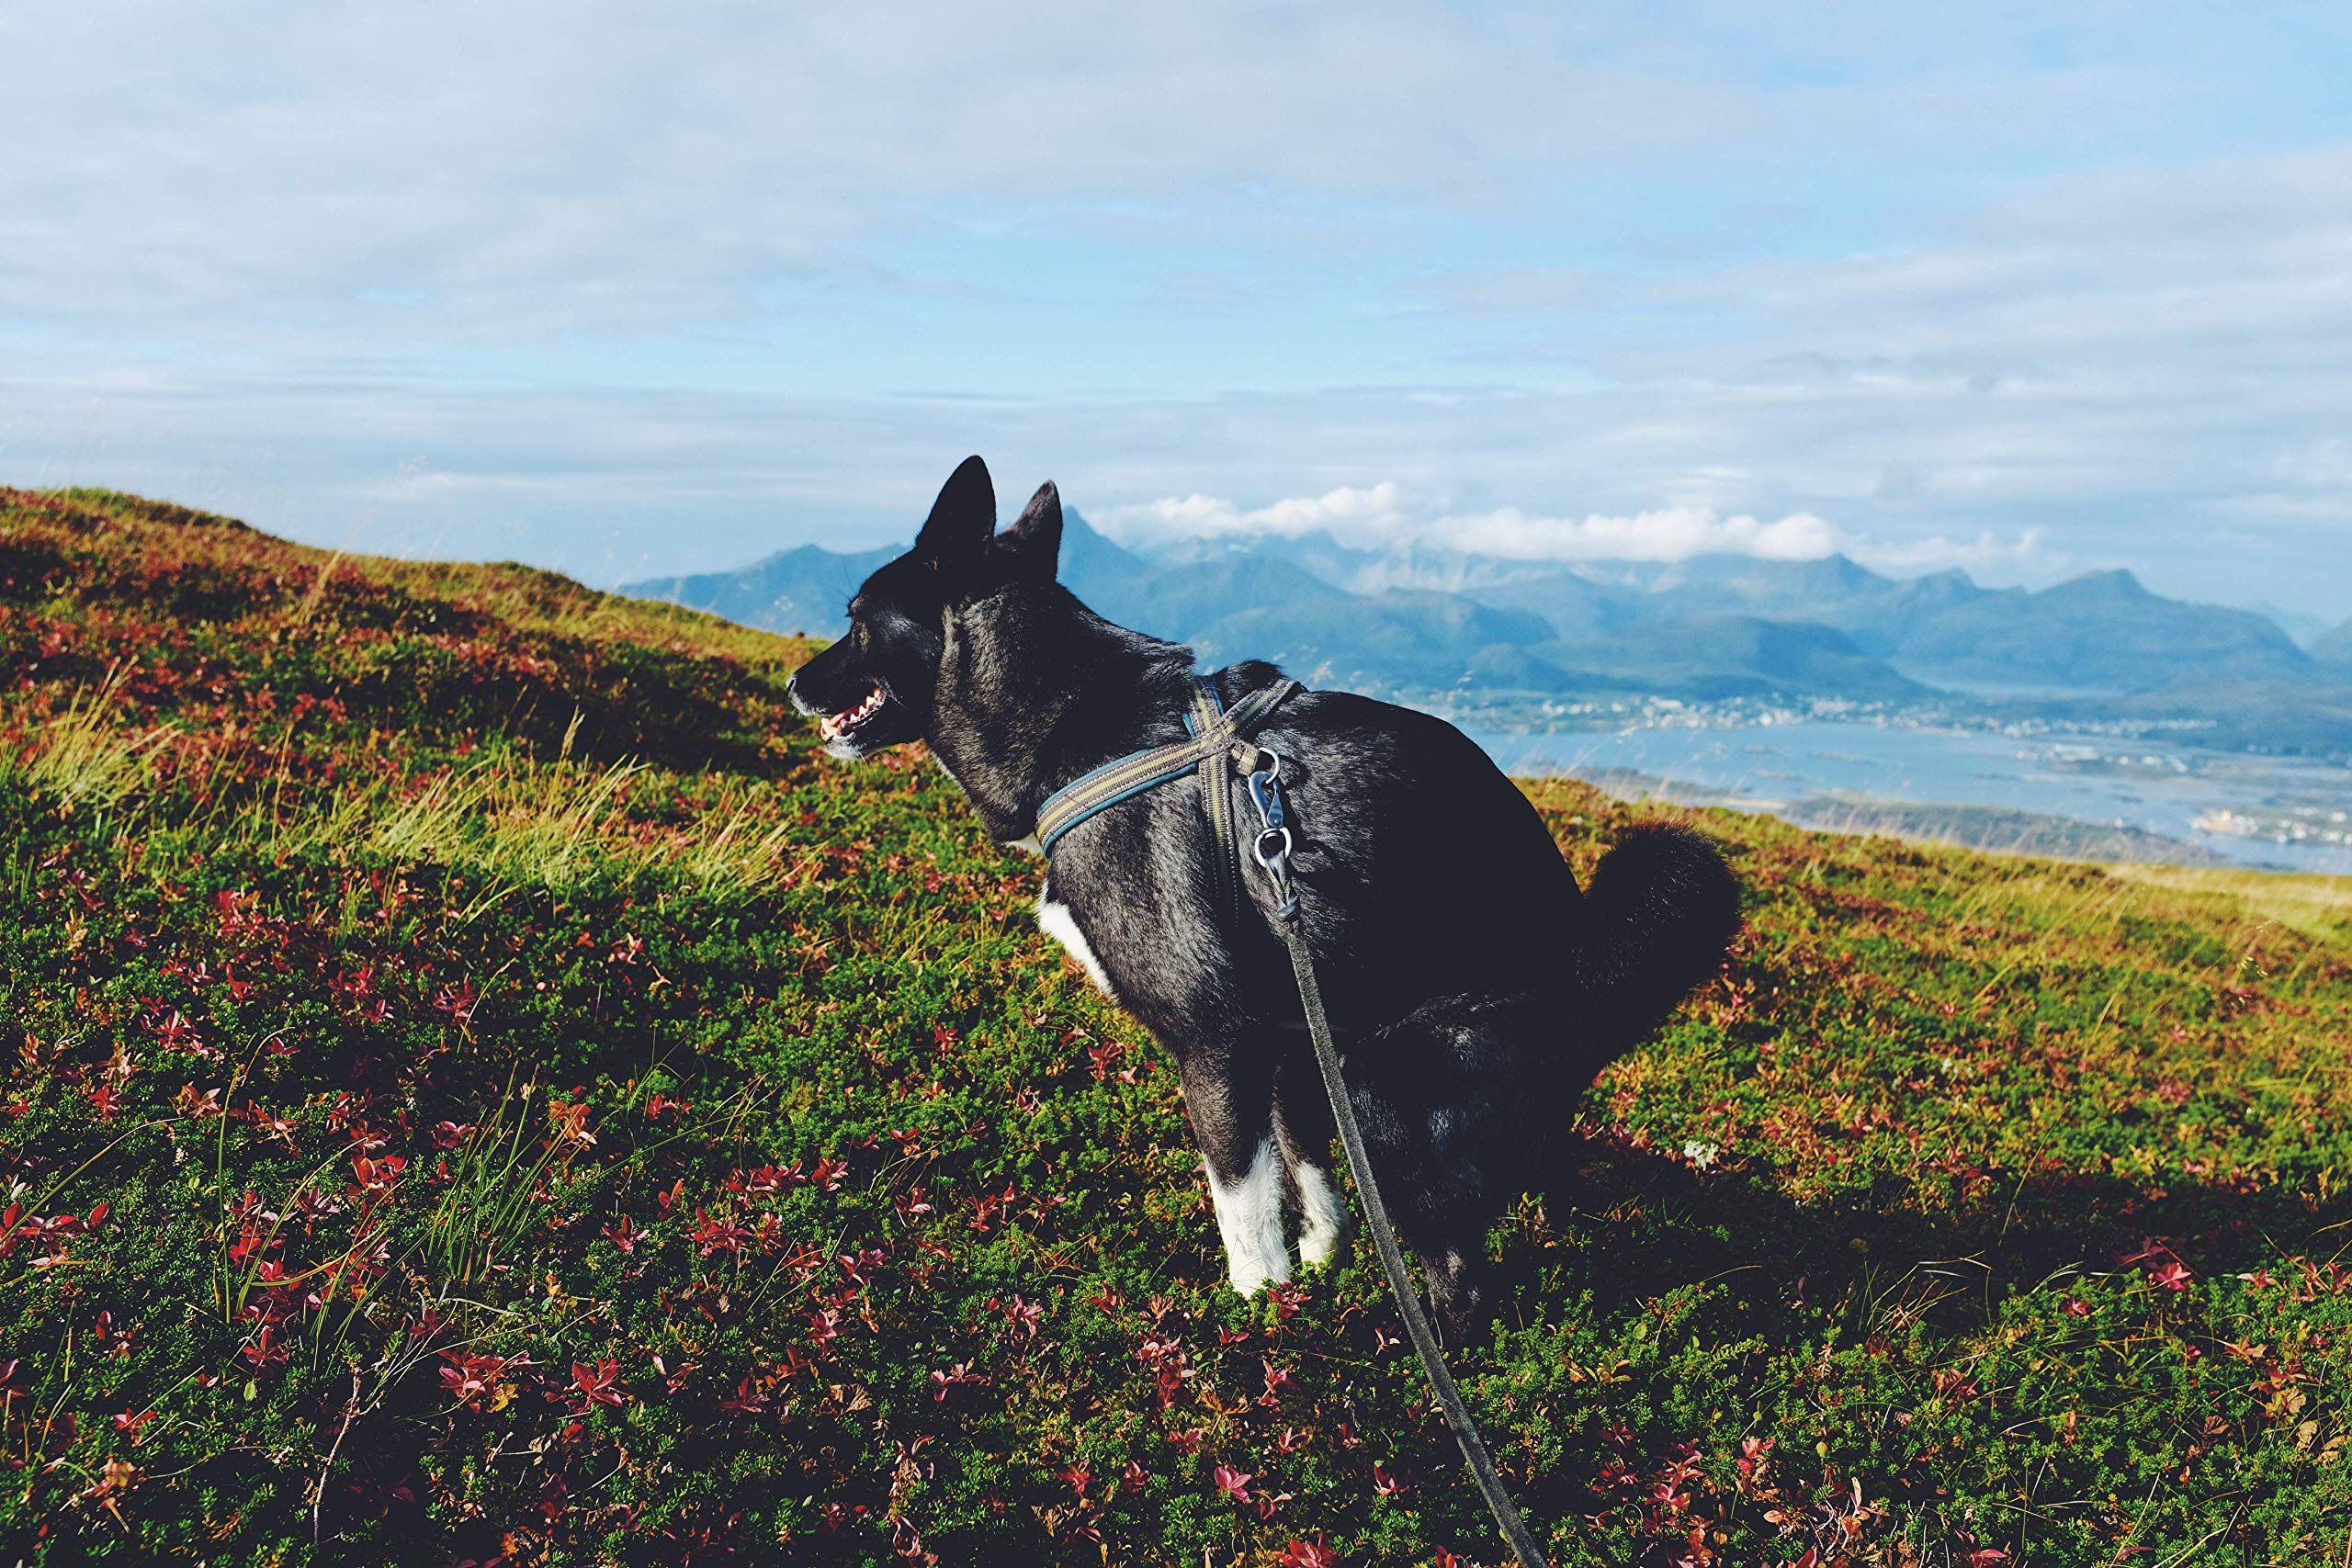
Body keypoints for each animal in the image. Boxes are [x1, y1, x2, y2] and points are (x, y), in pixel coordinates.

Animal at [799, 456, 1740, 1335]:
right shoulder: (1292, 1041)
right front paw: (1316, 1283)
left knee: (1463, 1283)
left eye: (855, 620)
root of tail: (1591, 965)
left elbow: (1244, 1207)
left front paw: (1260, 1317)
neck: (1077, 729)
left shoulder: (1215, 1043)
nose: (795, 683)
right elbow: (1312, 1179)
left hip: (1383, 1084)